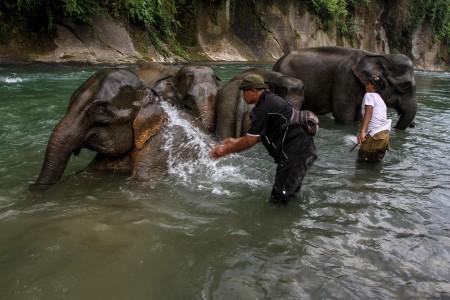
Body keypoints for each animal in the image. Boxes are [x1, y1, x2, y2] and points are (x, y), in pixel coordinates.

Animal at [272, 46, 416, 129]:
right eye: (405, 85)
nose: (413, 125)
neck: (379, 55)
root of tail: (278, 62)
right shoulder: (345, 77)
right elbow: (344, 114)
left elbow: (358, 114)